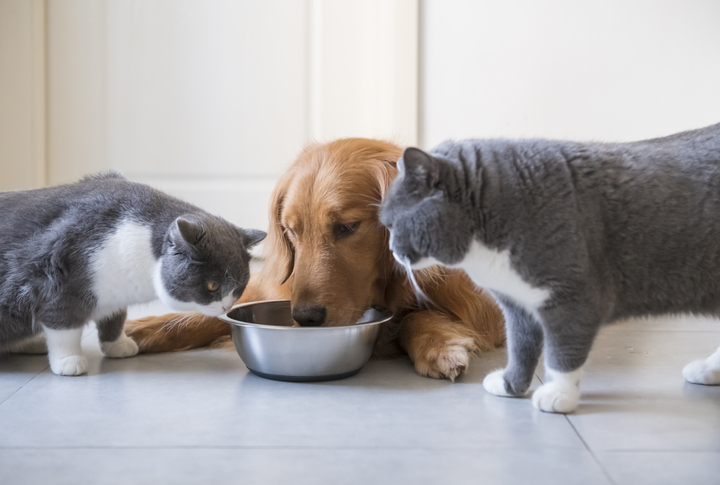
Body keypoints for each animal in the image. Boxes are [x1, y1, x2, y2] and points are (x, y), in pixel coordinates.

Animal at [0, 172, 264, 376]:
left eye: (240, 285)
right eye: (212, 286)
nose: (226, 307)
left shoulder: (114, 293)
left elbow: (115, 317)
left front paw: (118, 345)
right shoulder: (60, 278)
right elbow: (64, 326)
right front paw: (69, 361)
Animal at [126, 138, 504, 380]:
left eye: (347, 227)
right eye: (291, 230)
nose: (305, 317)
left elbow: (417, 316)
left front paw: (439, 344)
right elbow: (209, 315)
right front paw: (142, 328)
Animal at [380, 122, 720, 412]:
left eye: (392, 223)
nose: (392, 250)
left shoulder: (573, 300)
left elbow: (561, 354)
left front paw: (559, 395)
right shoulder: (518, 305)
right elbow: (520, 348)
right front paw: (510, 385)